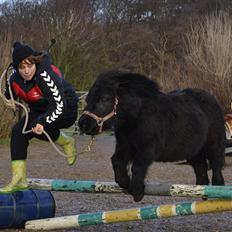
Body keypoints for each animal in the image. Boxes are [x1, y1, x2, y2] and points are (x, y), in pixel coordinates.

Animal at [78, 70, 225, 201]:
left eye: (105, 99)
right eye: (88, 99)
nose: (83, 124)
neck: (138, 116)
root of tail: (212, 99)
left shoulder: (149, 149)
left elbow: (137, 166)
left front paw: (137, 191)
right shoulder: (125, 147)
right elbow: (117, 162)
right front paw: (126, 184)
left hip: (214, 146)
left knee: (216, 168)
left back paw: (218, 193)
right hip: (194, 152)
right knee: (201, 171)